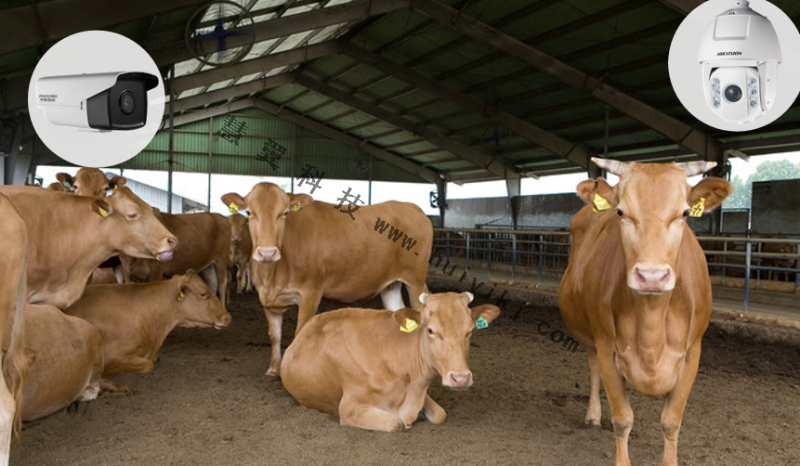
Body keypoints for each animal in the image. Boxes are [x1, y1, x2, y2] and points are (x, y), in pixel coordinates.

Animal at [222, 184, 434, 376]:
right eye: (249, 212)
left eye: (285, 213)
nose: (267, 253)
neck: (272, 276)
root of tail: (410, 207)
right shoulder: (267, 298)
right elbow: (274, 335)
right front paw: (273, 369)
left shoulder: (310, 292)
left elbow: (300, 333)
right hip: (391, 285)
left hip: (415, 280)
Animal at [278, 292, 496, 434]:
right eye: (431, 330)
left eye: (470, 331)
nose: (460, 378)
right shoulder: (349, 407)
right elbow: (396, 424)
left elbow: (440, 414)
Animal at [556, 159, 732, 466]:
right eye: (620, 212)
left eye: (685, 212)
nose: (652, 276)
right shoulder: (608, 348)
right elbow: (623, 419)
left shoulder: (692, 354)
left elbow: (671, 421)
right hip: (591, 336)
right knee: (593, 366)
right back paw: (593, 416)